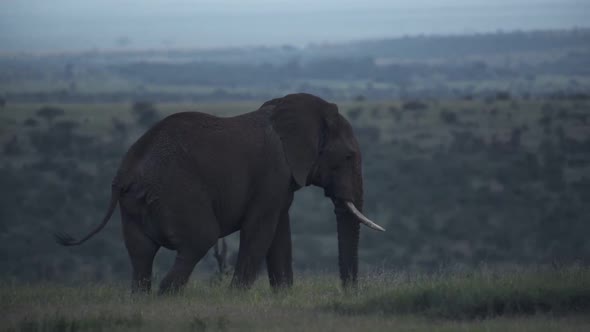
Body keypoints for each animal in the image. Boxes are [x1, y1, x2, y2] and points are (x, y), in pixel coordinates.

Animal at [57, 92, 386, 294]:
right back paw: (166, 297)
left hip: (134, 204)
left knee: (141, 254)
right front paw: (237, 297)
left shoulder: (281, 181)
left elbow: (279, 231)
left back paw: (143, 298)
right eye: (348, 157)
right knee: (199, 240)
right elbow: (260, 230)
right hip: (178, 193)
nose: (349, 292)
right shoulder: (273, 172)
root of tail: (126, 171)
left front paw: (283, 295)